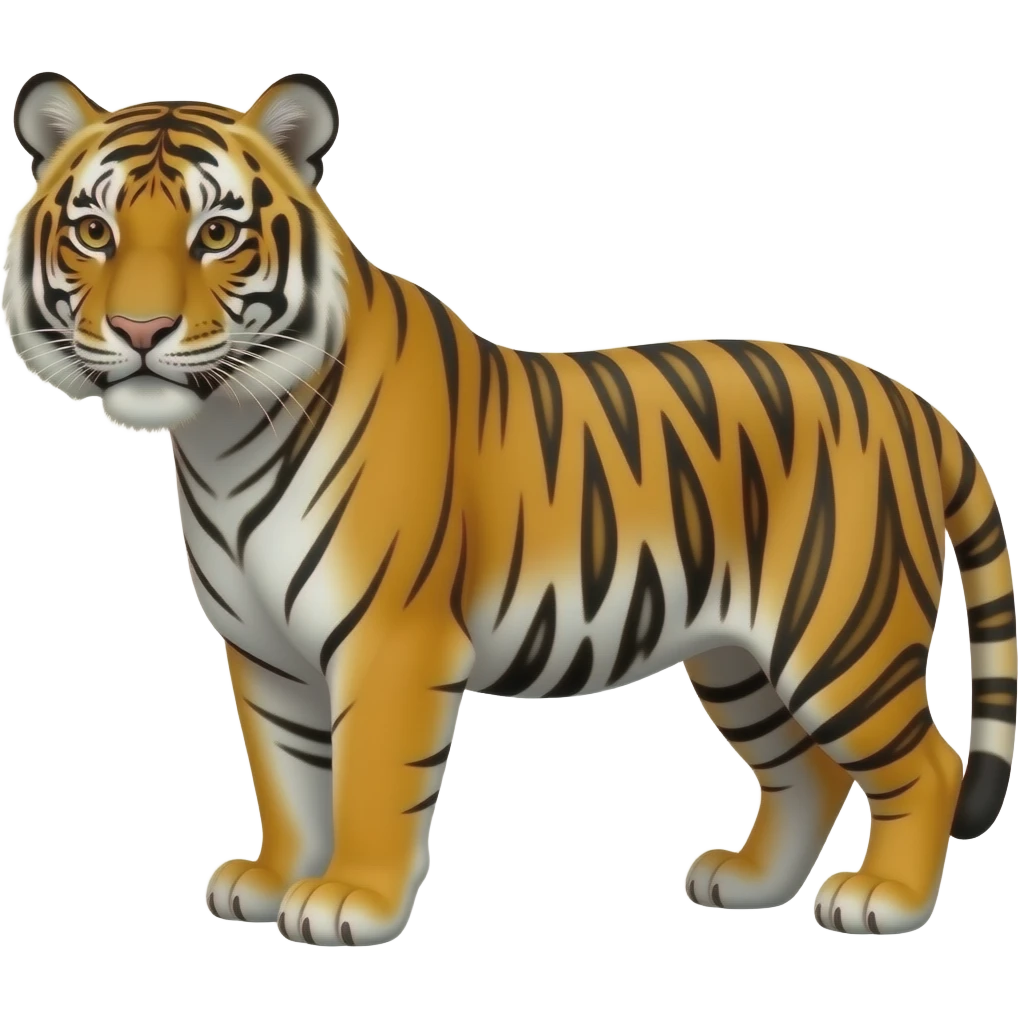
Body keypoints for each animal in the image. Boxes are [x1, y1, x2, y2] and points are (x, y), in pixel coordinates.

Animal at [3, 70, 1016, 947]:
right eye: (92, 229)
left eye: (216, 233)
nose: (139, 331)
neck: (220, 433)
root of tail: (918, 406)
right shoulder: (265, 652)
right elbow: (288, 774)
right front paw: (274, 877)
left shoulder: (390, 639)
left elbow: (369, 777)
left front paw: (348, 900)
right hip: (739, 658)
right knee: (804, 769)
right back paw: (749, 881)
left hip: (839, 635)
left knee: (926, 765)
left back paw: (882, 898)